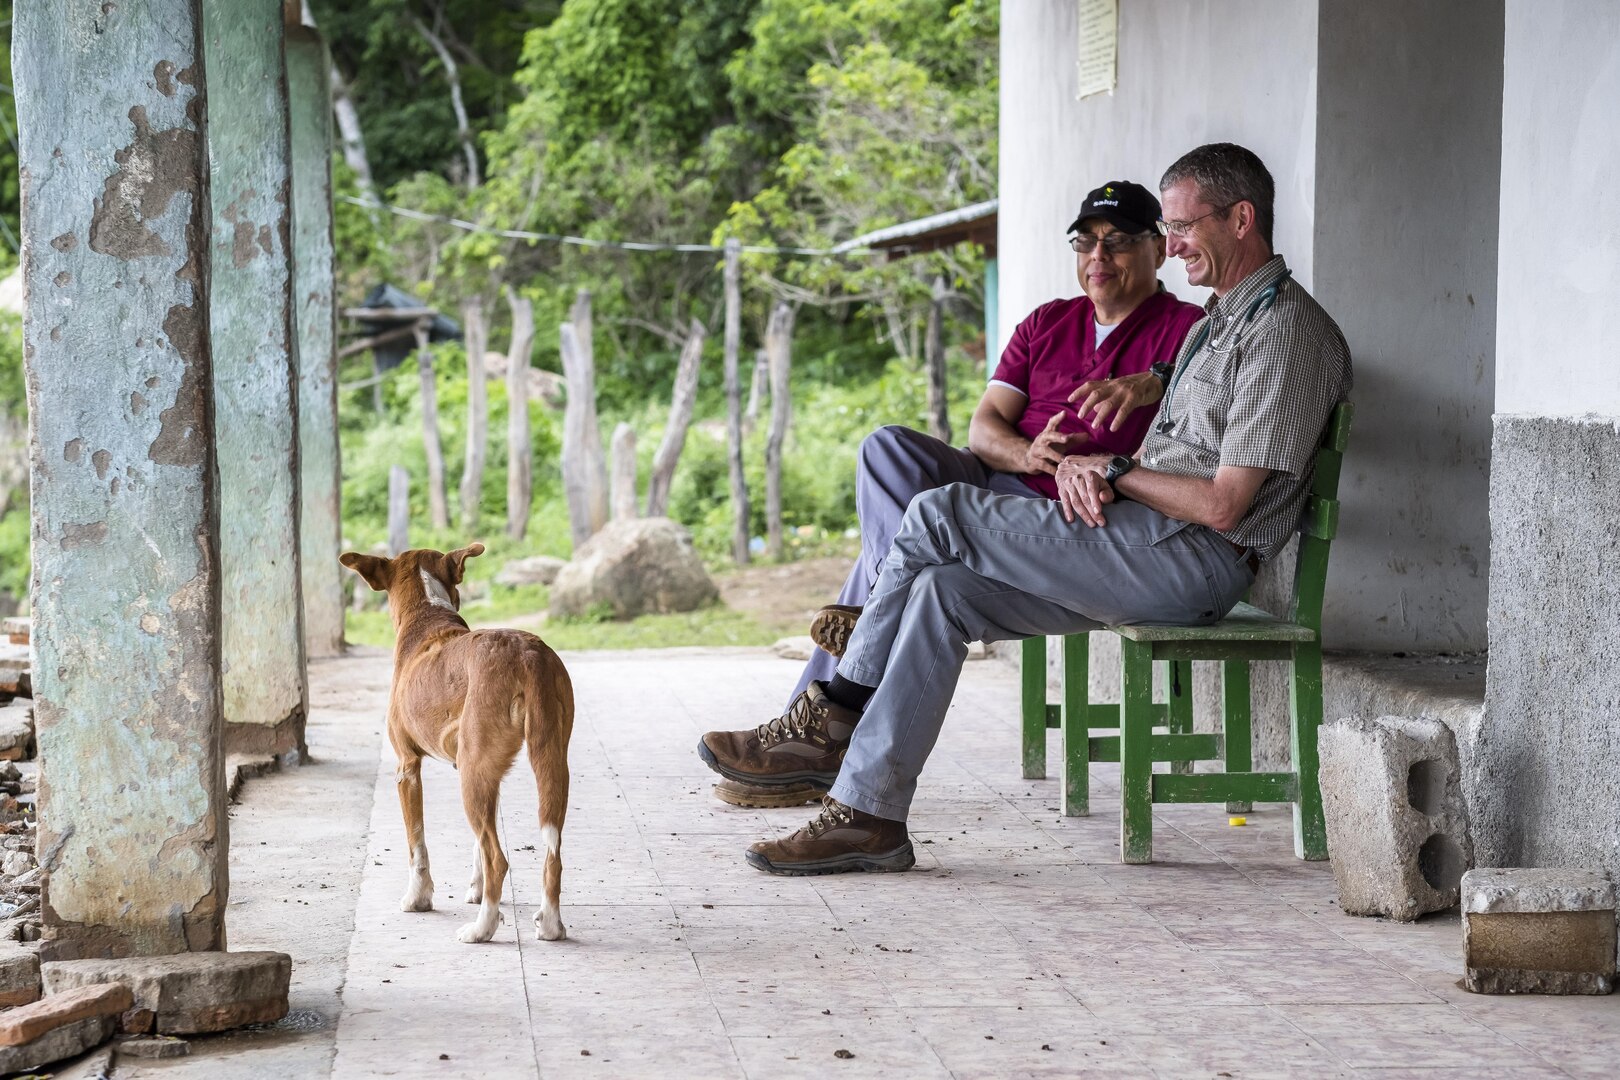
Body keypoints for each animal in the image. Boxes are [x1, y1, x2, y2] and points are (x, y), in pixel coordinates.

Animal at [338, 544, 573, 939]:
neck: (427, 614)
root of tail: (527, 652)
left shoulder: (407, 768)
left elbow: (417, 846)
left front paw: (418, 899)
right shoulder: (477, 770)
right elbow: (475, 844)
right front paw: (475, 890)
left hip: (474, 775)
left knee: (498, 860)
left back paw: (482, 929)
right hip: (546, 764)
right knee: (551, 854)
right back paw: (551, 924)